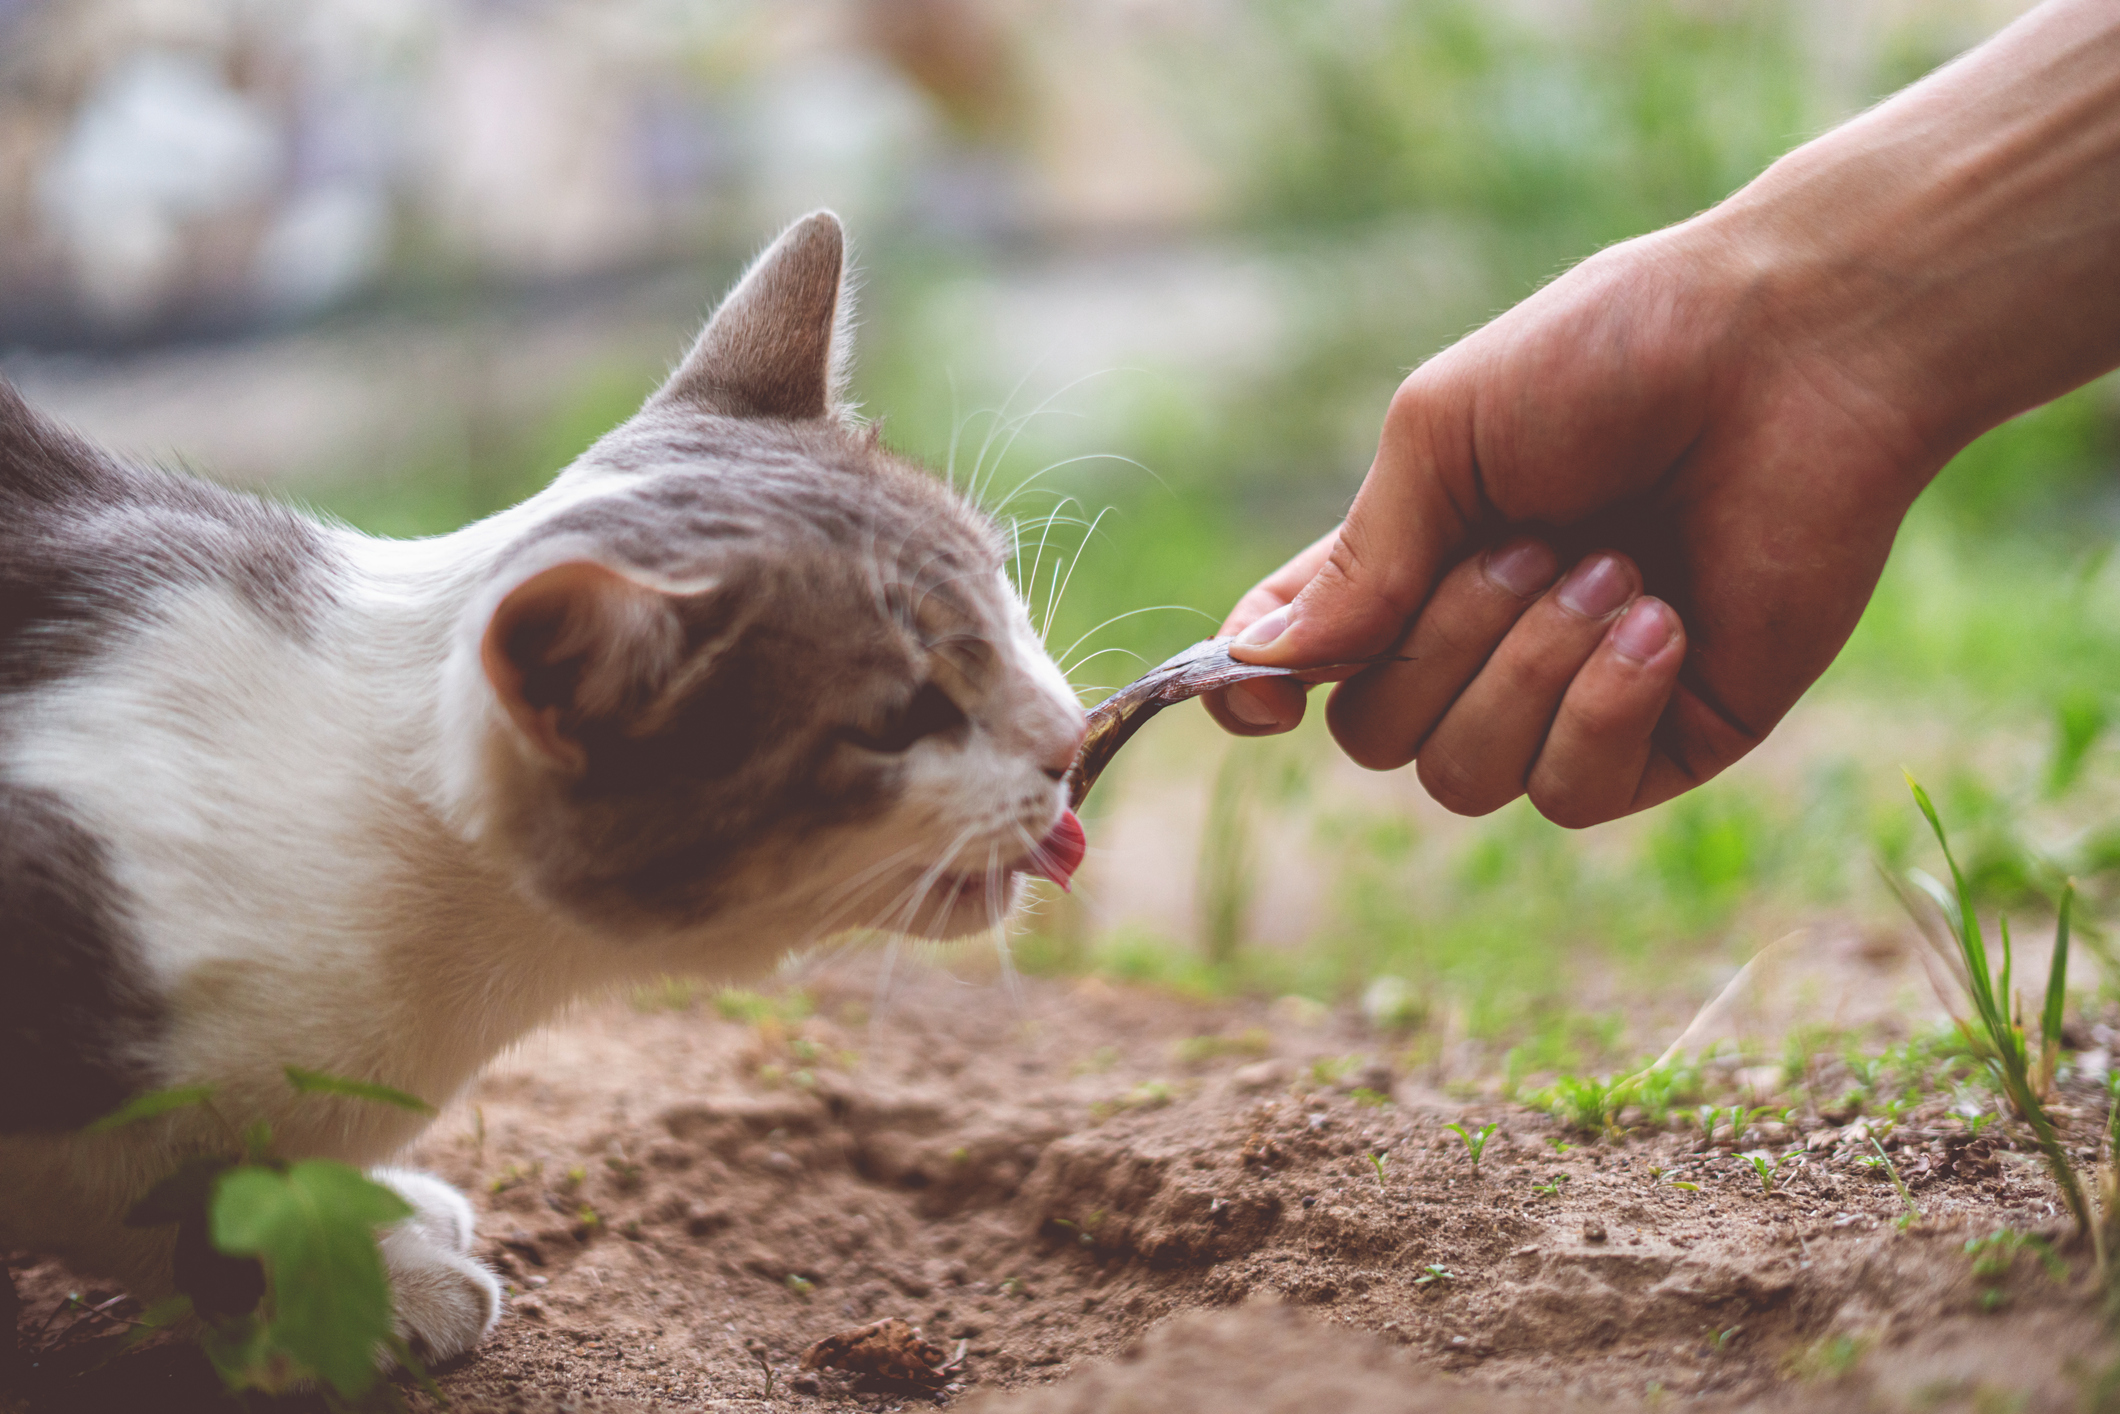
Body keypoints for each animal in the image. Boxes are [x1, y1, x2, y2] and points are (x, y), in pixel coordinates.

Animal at [0, 216, 1085, 1365]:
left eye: (1001, 590)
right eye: (896, 721)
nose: (1068, 741)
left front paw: (374, 1216)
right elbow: (176, 1209)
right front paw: (364, 1289)